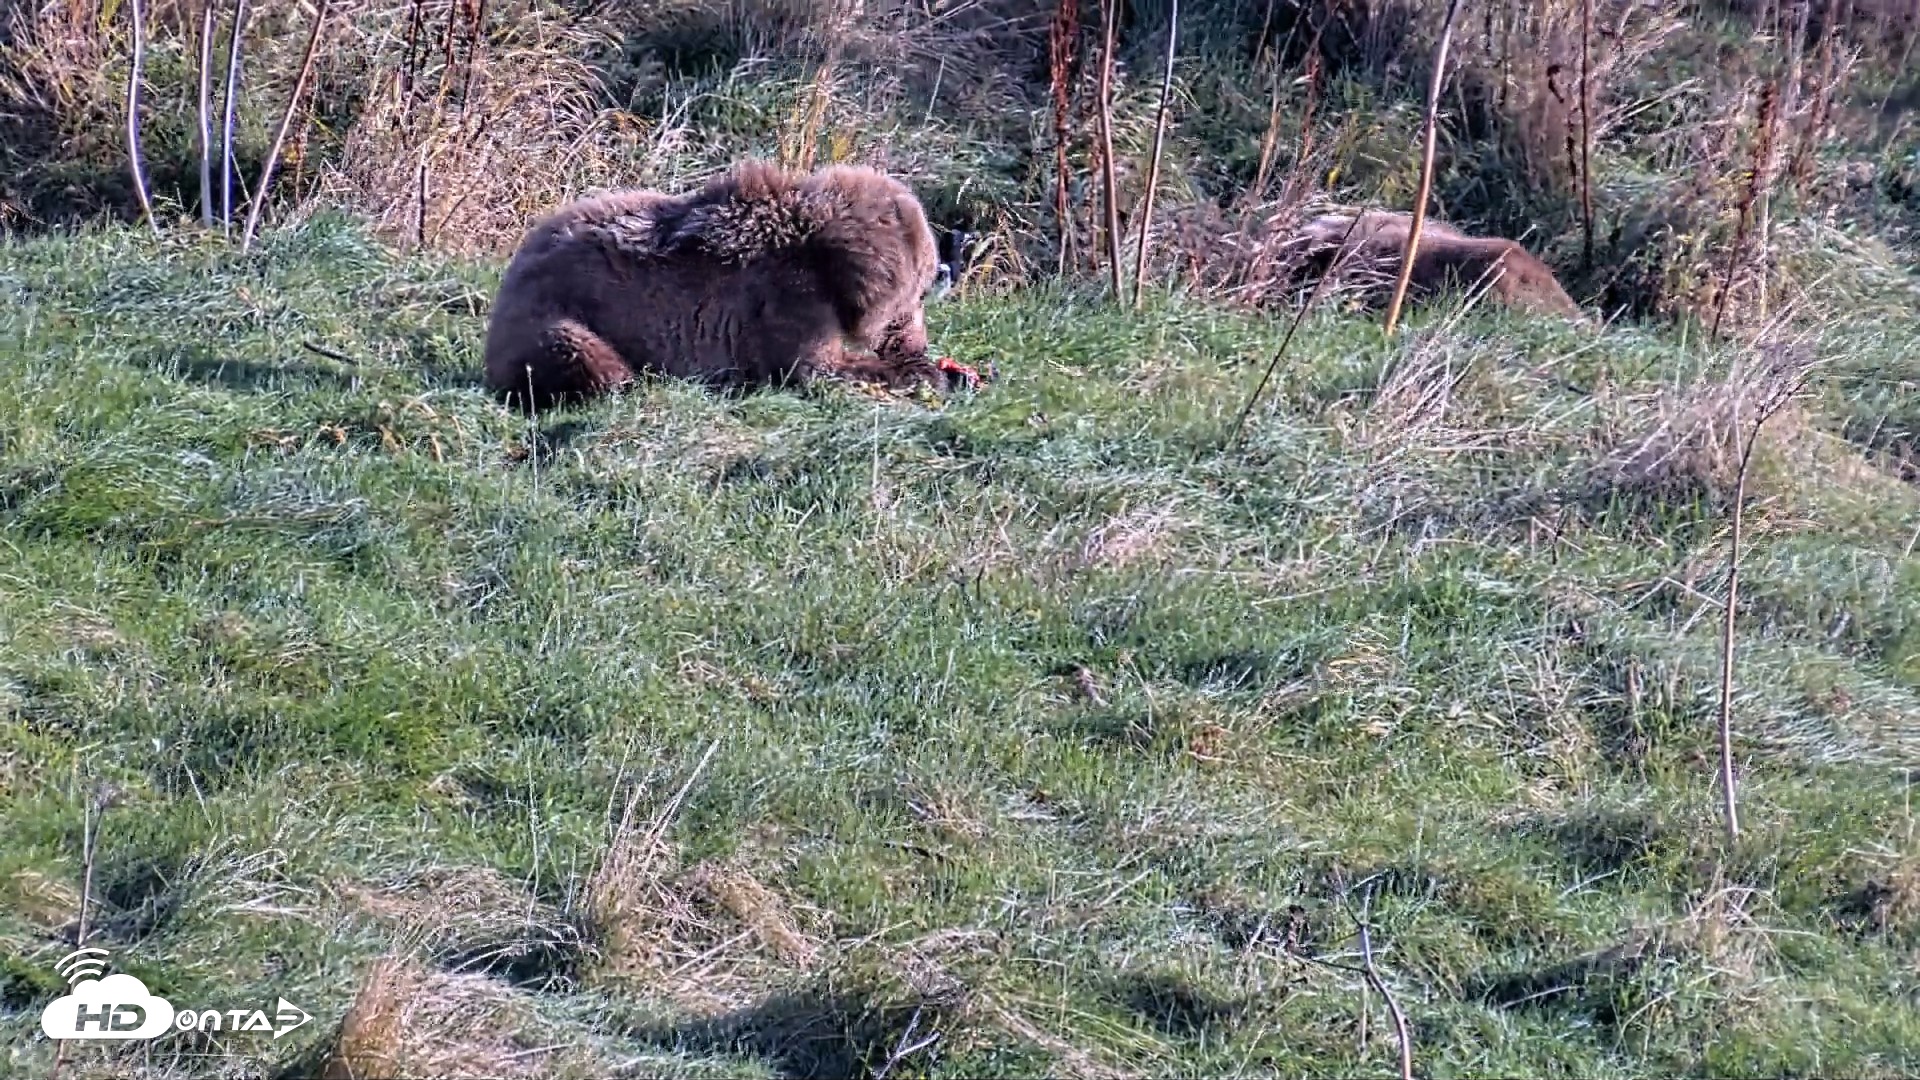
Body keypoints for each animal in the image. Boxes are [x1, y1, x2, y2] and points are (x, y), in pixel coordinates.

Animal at [480, 159, 981, 411]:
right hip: (561, 309)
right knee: (582, 356)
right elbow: (811, 367)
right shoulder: (788, 298)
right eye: (917, 294)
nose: (918, 340)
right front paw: (932, 373)